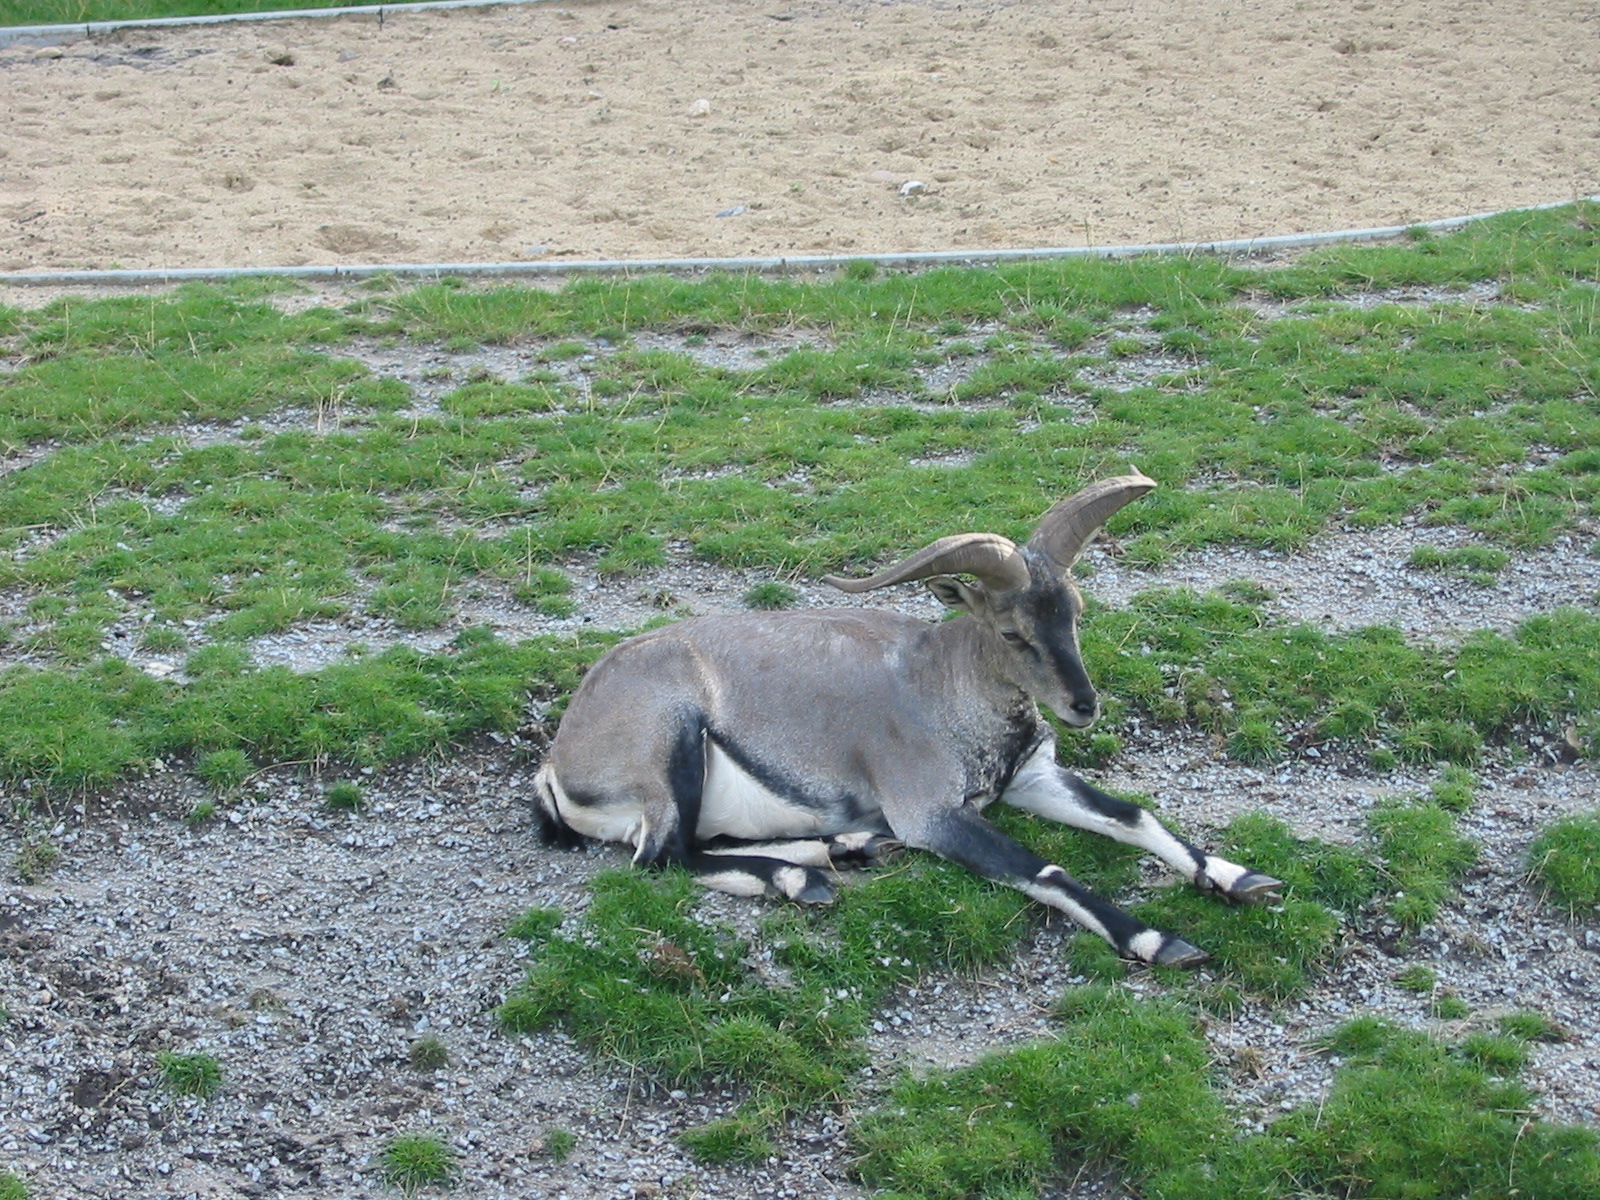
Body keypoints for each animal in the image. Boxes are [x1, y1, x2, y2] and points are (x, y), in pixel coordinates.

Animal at [533, 472, 1281, 966]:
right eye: (1011, 632)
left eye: (1075, 609)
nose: (1082, 705)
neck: (938, 683)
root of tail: (557, 765)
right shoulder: (930, 812)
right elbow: (1044, 871)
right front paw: (1161, 940)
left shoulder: (1031, 779)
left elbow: (1131, 814)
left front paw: (1240, 877)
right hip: (670, 746)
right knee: (664, 856)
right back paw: (803, 879)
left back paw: (845, 848)